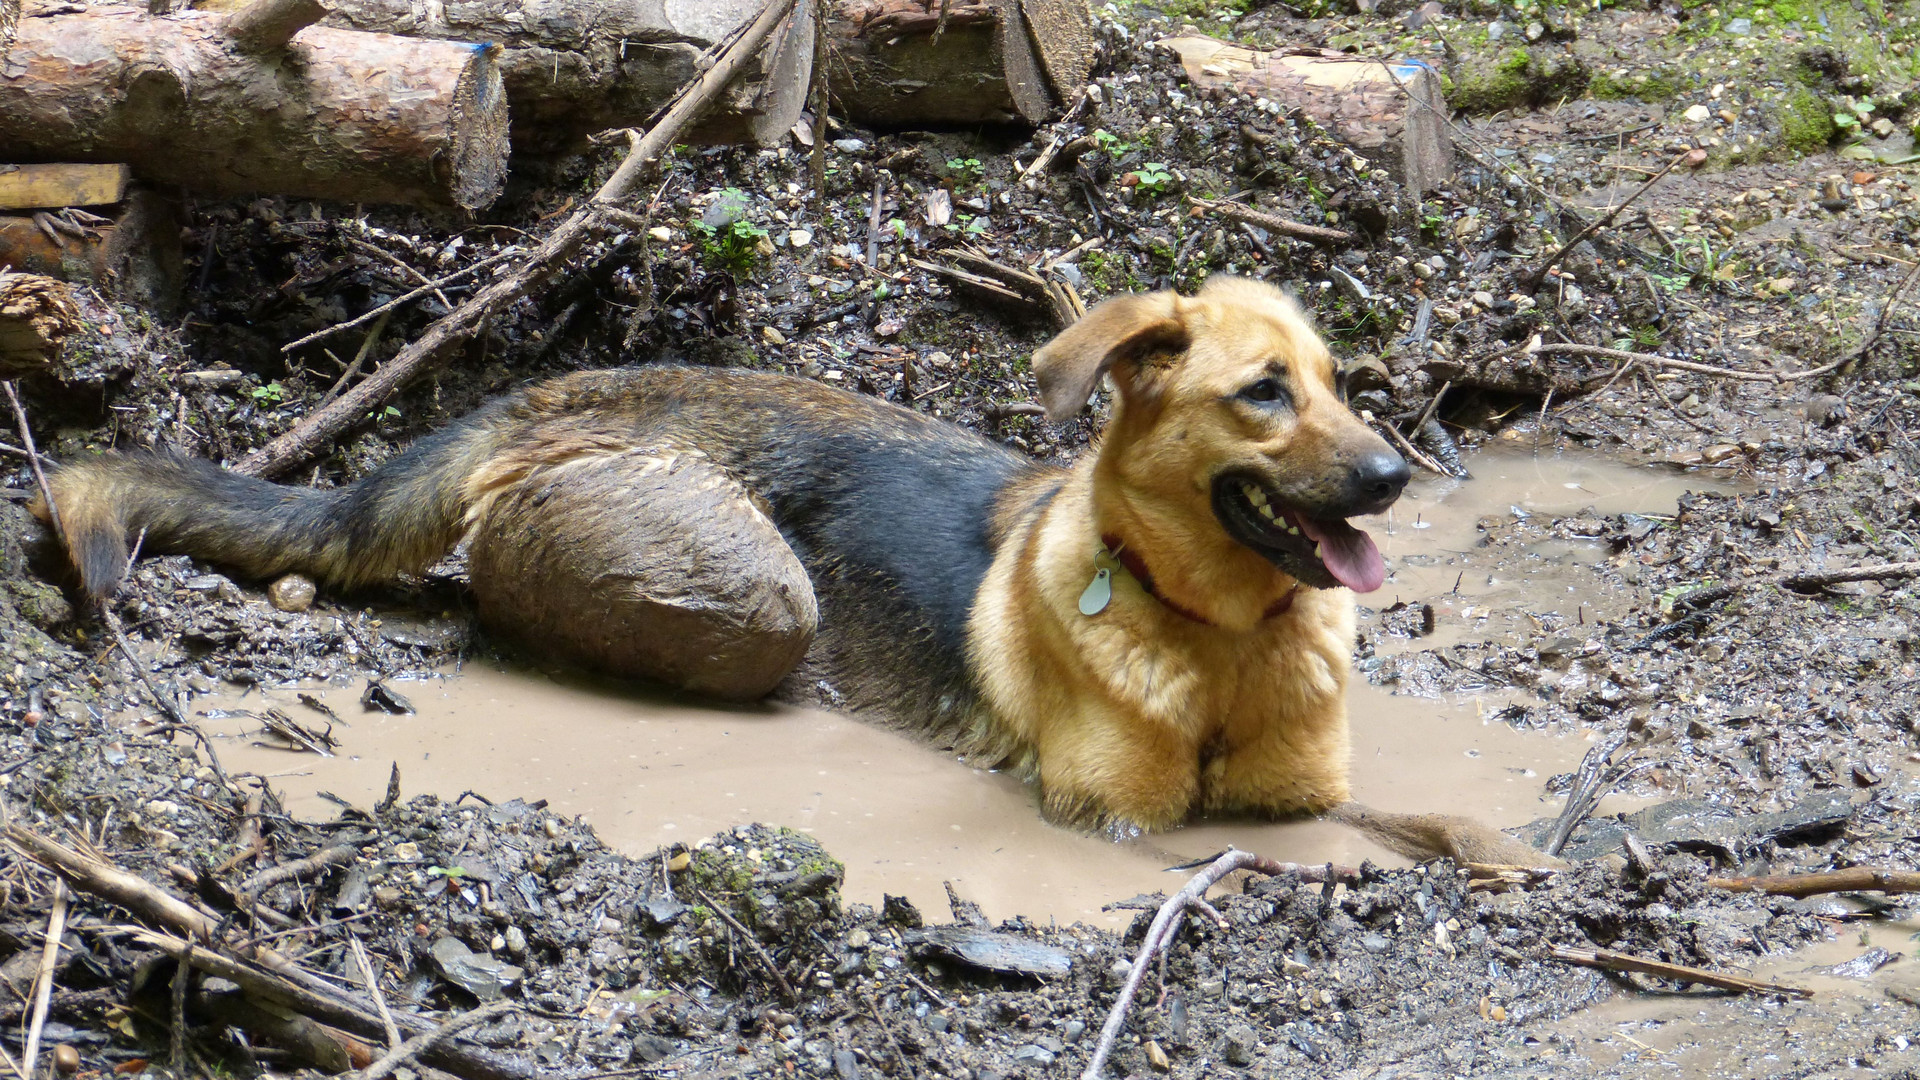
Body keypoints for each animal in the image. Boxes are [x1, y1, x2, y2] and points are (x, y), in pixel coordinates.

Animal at [33, 276, 1543, 857]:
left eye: (1340, 385)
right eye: (1263, 395)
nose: (1394, 478)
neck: (1220, 639)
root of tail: (554, 393)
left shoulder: (1312, 797)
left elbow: (1418, 817)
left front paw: (1502, 851)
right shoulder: (1106, 822)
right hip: (754, 595)